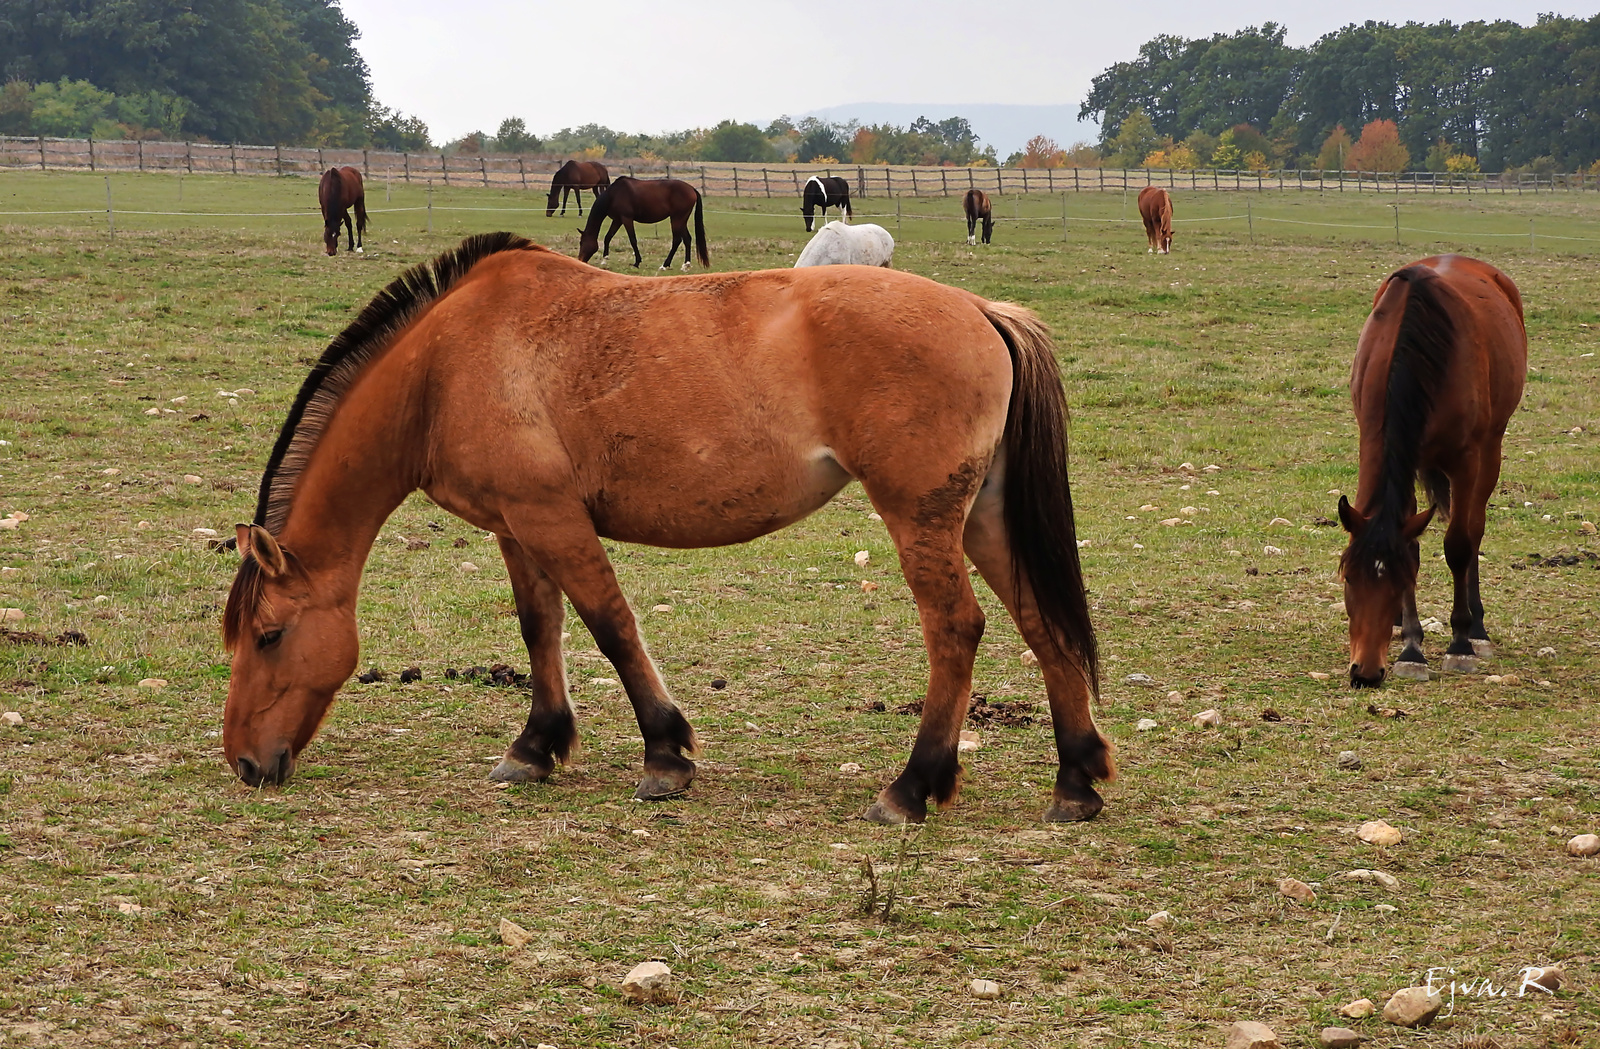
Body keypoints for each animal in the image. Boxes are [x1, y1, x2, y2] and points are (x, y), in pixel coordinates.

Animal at [219, 231, 1107, 825]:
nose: (244, 763)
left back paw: (913, 787)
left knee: (956, 629)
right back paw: (1076, 779)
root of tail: (980, 310)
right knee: (1042, 623)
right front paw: (536, 745)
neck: (444, 364)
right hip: (981, 517)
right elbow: (541, 629)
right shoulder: (516, 526)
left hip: (922, 518)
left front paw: (664, 755)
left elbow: (610, 625)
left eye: (268, 634)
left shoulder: (552, 518)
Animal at [572, 175, 704, 270]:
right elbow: (608, 237)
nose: (580, 260)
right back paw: (686, 265)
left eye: (581, 242)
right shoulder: (617, 220)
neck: (614, 194)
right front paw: (605, 260)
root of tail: (692, 189)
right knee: (687, 239)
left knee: (677, 240)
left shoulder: (626, 219)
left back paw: (664, 265)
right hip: (681, 220)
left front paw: (637, 262)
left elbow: (633, 240)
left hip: (676, 219)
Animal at [1337, 254, 1523, 687]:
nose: (1365, 673)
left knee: (1474, 528)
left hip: (1491, 448)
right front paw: (1411, 647)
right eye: (1349, 578)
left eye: (1400, 581)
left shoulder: (1466, 459)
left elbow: (1459, 544)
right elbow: (1412, 544)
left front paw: (1460, 644)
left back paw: (1476, 630)